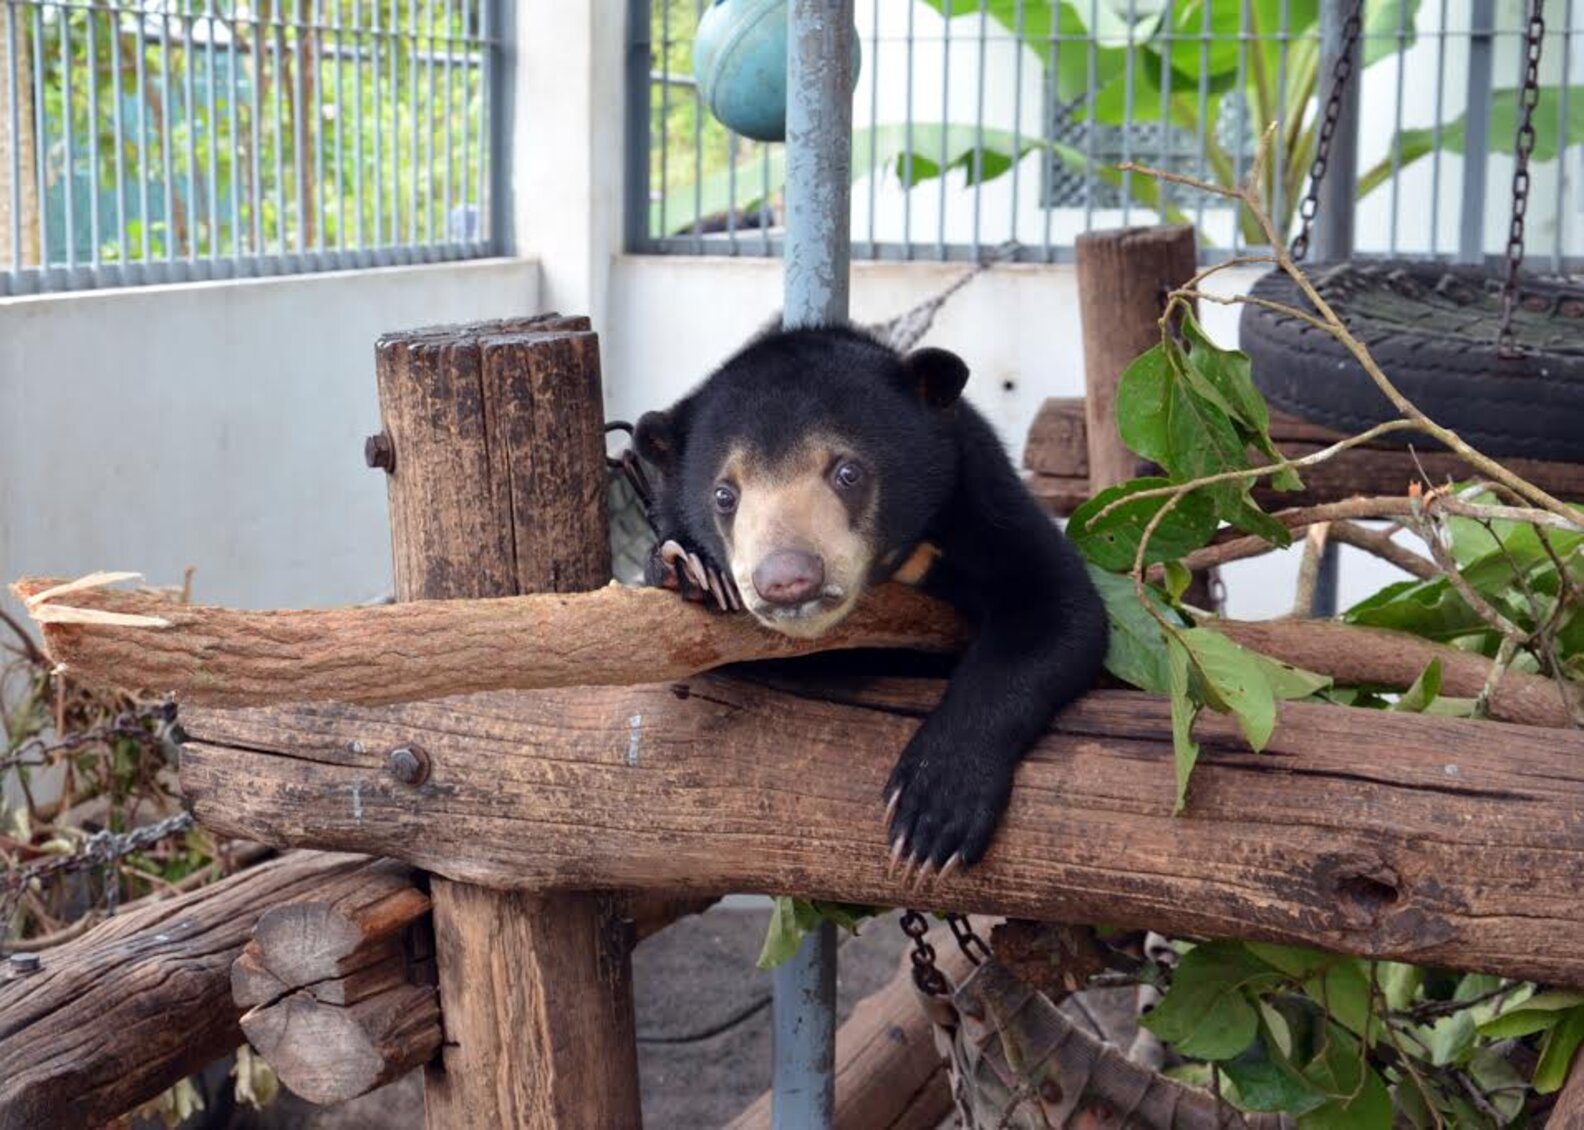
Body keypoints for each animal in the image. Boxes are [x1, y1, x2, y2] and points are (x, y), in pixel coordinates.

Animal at [634, 324, 1109, 877]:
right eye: (724, 495)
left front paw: (932, 813)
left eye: (848, 473)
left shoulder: (982, 497)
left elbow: (1059, 609)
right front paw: (690, 569)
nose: (788, 580)